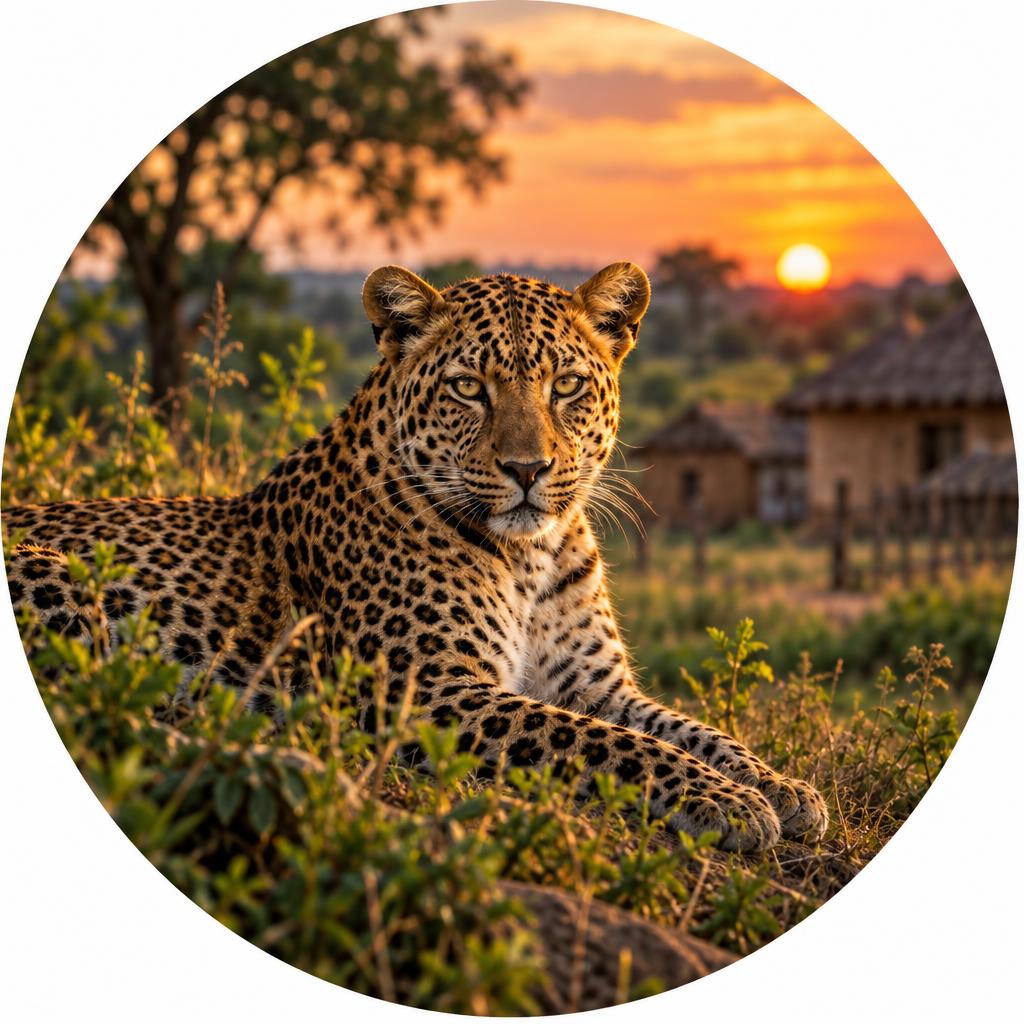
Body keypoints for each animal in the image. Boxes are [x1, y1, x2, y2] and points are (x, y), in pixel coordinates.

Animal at [4, 262, 827, 853]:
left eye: (566, 387)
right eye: (468, 388)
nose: (527, 469)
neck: (531, 558)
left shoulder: (595, 685)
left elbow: (688, 730)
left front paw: (783, 788)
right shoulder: (428, 691)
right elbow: (607, 744)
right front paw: (729, 801)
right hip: (60, 578)